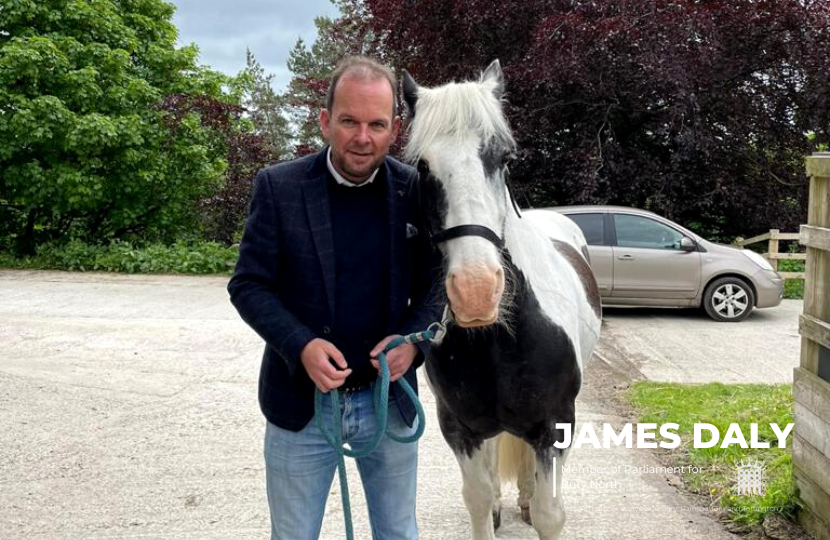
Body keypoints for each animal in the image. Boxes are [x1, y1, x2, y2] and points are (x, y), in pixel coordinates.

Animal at [404, 61, 604, 536]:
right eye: (422, 166)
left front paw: (536, 505)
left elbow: (551, 513)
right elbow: (476, 500)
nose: (476, 292)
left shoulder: (555, 424)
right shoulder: (459, 426)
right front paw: (490, 504)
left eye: (505, 157)